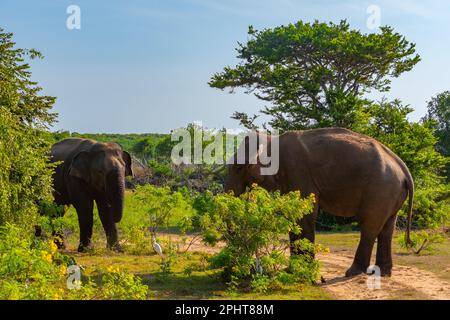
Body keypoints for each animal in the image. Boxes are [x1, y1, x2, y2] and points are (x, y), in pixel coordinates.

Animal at [227, 127, 414, 278]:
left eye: (239, 168)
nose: (251, 267)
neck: (272, 139)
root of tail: (403, 167)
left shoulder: (297, 171)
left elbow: (305, 214)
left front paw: (302, 269)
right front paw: (292, 270)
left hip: (380, 190)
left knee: (369, 226)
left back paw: (352, 272)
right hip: (391, 193)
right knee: (387, 228)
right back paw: (383, 273)